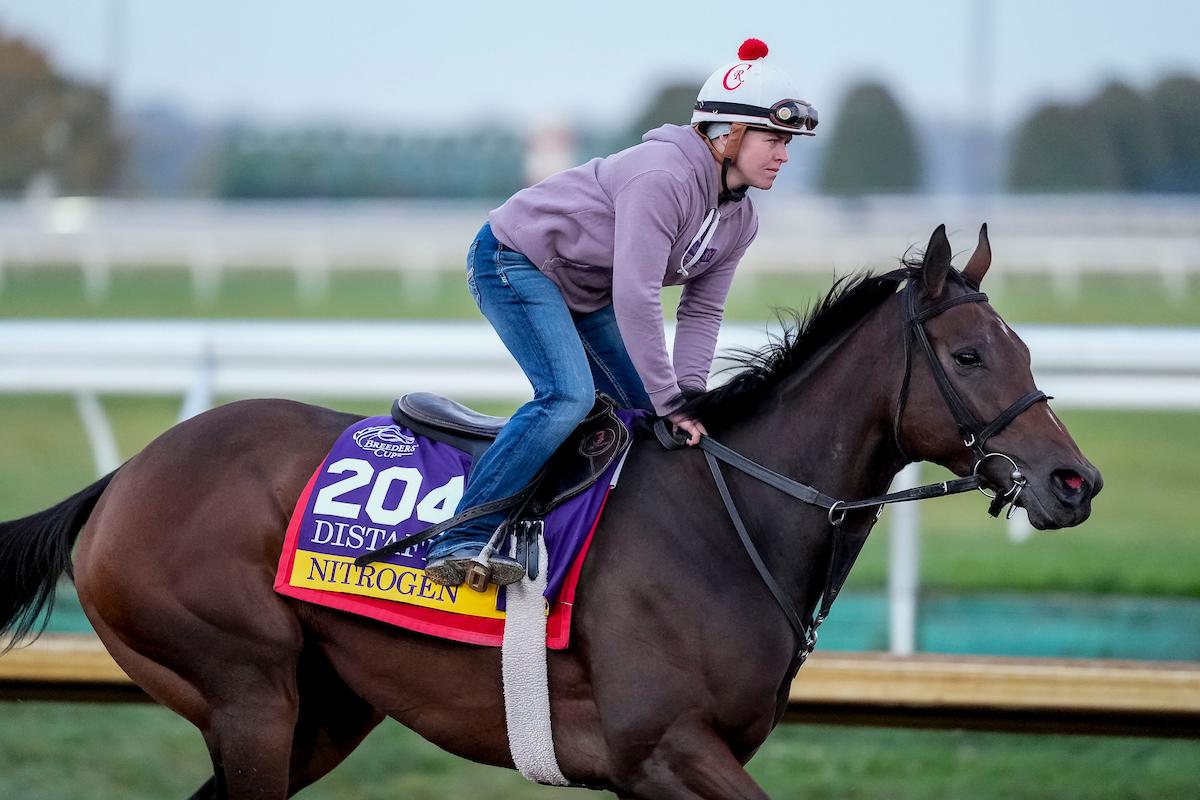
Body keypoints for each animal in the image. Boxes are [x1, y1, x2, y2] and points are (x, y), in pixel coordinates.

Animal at [0, 224, 1101, 799]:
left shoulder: (660, 767)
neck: (730, 515)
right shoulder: (665, 748)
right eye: (971, 355)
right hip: (245, 692)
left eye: (1026, 349)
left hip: (324, 707)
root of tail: (125, 475)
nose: (1074, 482)